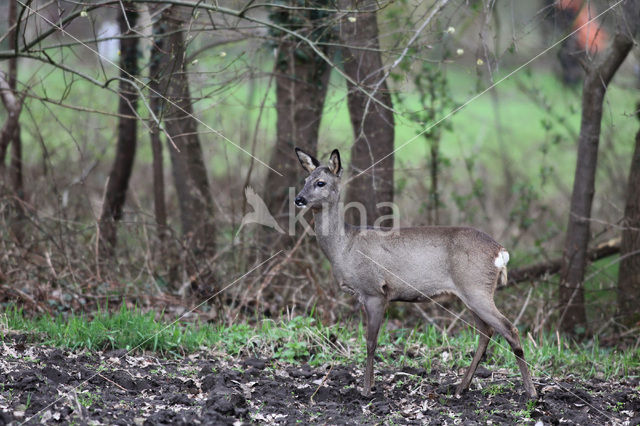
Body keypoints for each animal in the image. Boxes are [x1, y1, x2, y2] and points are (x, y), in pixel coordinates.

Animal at [292, 148, 536, 398]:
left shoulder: (374, 291)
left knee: (510, 329)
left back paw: (531, 391)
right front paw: (370, 385)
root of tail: (500, 251)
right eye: (305, 179)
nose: (298, 199)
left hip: (476, 287)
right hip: (472, 292)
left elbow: (371, 342)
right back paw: (461, 386)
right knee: (486, 332)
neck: (344, 248)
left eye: (321, 182)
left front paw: (367, 389)